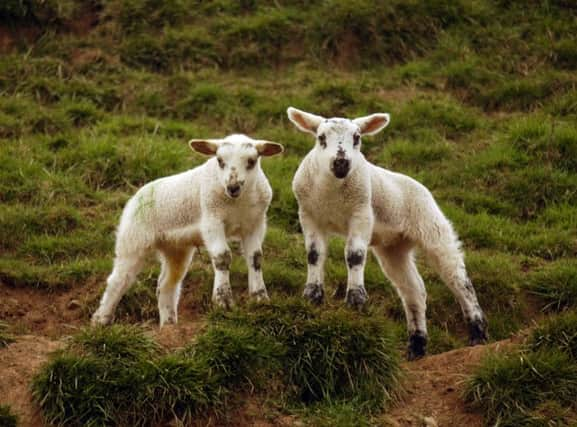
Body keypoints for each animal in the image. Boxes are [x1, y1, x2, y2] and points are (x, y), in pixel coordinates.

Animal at [90, 135, 286, 328]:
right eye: (220, 160)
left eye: (252, 161)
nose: (233, 187)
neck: (239, 204)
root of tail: (135, 196)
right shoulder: (211, 221)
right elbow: (223, 257)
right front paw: (224, 302)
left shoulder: (255, 224)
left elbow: (256, 258)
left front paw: (260, 299)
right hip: (133, 239)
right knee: (119, 280)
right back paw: (101, 320)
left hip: (176, 248)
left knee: (166, 286)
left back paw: (169, 325)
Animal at [286, 105, 486, 360]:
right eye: (321, 138)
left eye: (357, 138)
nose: (341, 163)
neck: (332, 192)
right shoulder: (309, 216)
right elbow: (314, 255)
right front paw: (312, 297)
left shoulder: (362, 214)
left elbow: (354, 256)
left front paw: (356, 300)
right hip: (393, 248)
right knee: (414, 291)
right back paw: (416, 348)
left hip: (432, 226)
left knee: (458, 278)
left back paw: (477, 335)